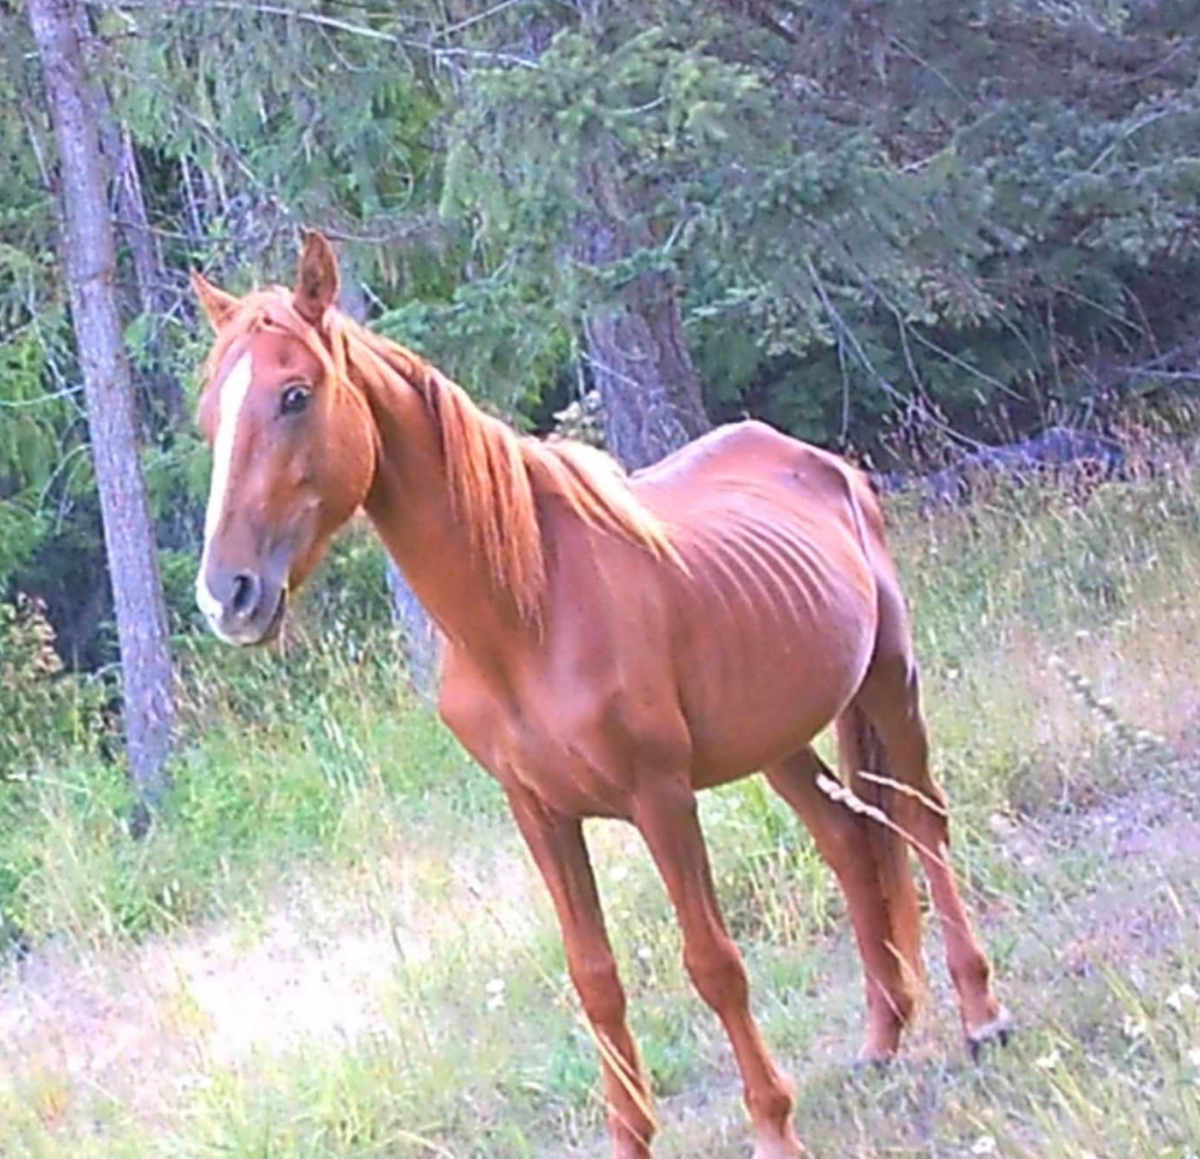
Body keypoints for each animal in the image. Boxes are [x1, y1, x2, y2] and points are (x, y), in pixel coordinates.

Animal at [191, 232, 1009, 1159]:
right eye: (211, 417)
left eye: (295, 394)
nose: (227, 595)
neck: (524, 614)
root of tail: (823, 464)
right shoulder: (540, 813)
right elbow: (595, 980)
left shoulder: (660, 798)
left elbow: (713, 964)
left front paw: (774, 1125)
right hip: (776, 739)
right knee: (848, 840)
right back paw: (881, 1033)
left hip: (889, 681)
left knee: (921, 819)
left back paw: (981, 1013)